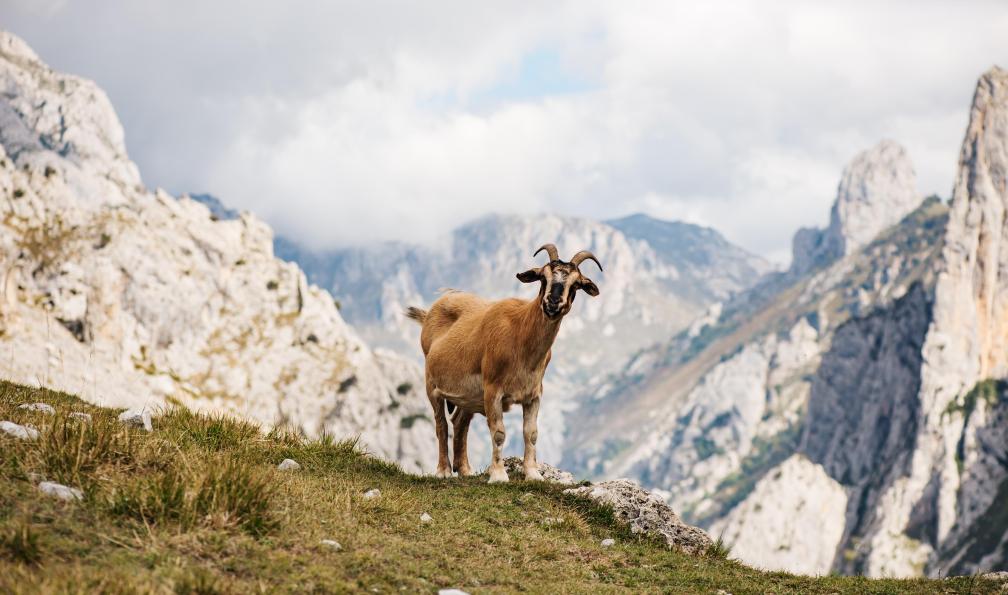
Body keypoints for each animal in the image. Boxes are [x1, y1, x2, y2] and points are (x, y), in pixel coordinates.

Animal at [405, 244, 602, 482]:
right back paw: (443, 470)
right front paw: (499, 475)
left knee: (460, 422)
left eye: (576, 283)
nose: (552, 303)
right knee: (440, 424)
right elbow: (498, 433)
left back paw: (465, 469)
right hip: (432, 385)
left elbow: (531, 433)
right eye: (542, 277)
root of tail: (429, 314)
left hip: (469, 397)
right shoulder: (493, 391)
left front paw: (533, 473)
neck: (520, 336)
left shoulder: (533, 394)